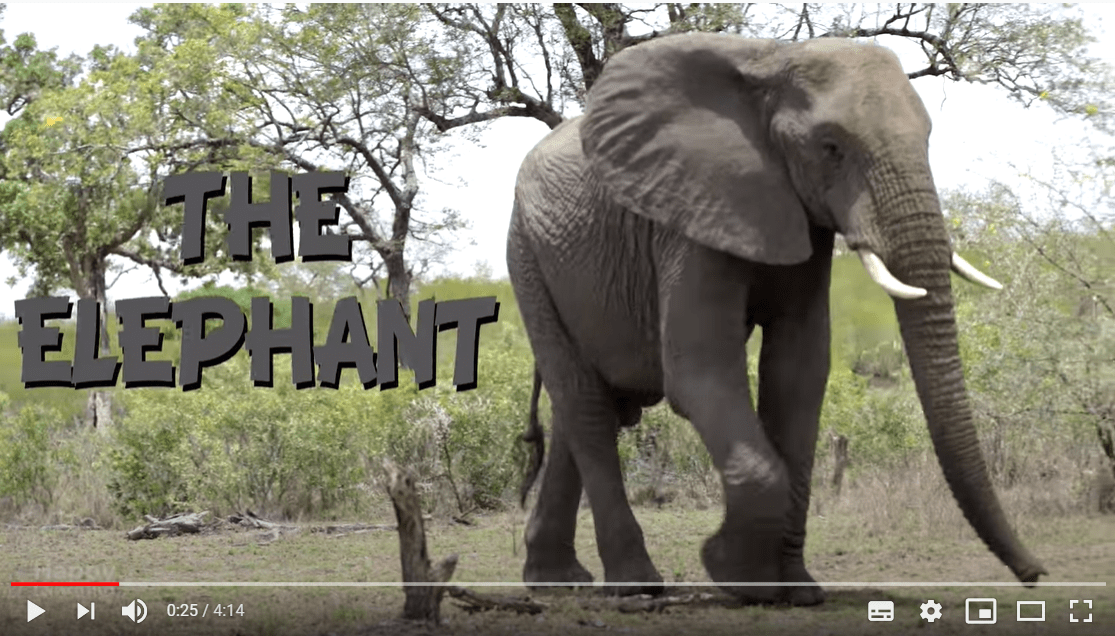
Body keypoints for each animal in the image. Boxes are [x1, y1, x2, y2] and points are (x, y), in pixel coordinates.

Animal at [506, 33, 1047, 606]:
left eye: (926, 140)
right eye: (830, 148)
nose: (1035, 573)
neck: (772, 62)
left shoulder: (800, 216)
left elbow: (799, 371)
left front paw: (799, 590)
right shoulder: (690, 217)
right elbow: (699, 370)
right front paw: (733, 572)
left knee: (587, 409)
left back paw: (558, 579)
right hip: (527, 256)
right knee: (584, 405)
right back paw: (636, 586)